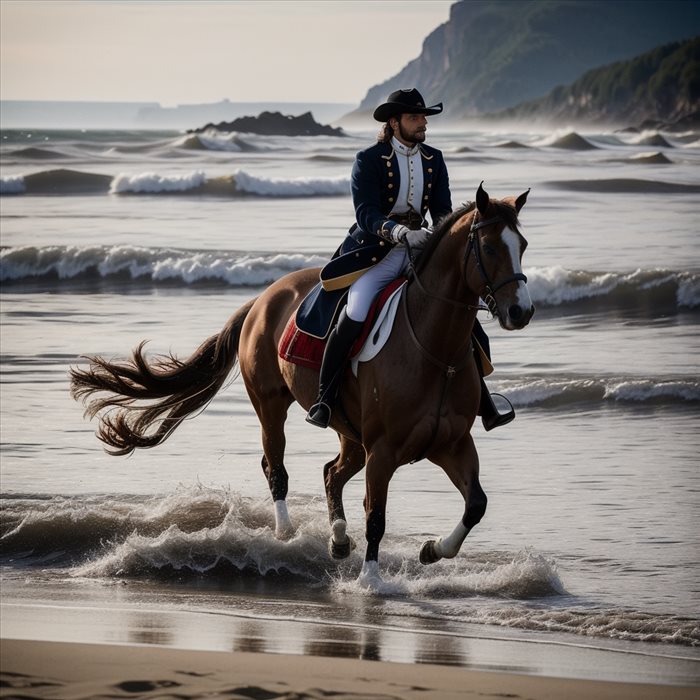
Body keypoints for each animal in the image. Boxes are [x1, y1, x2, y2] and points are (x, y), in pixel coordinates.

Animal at [69, 183, 532, 588]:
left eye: (523, 245)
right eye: (490, 247)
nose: (521, 312)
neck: (435, 350)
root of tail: (262, 299)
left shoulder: (451, 444)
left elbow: (476, 505)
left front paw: (432, 550)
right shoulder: (383, 451)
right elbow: (376, 514)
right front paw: (371, 581)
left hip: (351, 433)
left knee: (331, 472)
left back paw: (338, 539)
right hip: (272, 406)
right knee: (276, 466)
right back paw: (286, 534)